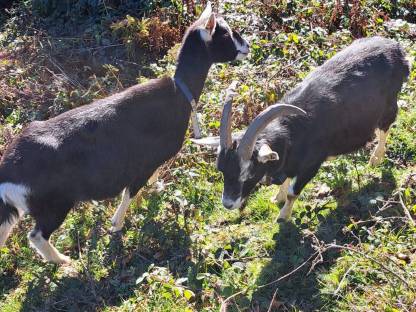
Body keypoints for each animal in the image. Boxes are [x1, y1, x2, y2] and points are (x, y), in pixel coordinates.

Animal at [0, 2, 250, 264]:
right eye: (226, 33)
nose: (247, 46)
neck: (180, 93)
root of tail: (8, 172)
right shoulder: (141, 164)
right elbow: (130, 192)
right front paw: (116, 224)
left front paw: (157, 187)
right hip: (55, 204)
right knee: (37, 235)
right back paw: (65, 261)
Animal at [196, 36, 410, 221]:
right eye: (221, 170)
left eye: (248, 173)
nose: (228, 204)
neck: (293, 130)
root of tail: (396, 48)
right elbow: (284, 180)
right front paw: (277, 197)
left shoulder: (312, 163)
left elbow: (293, 192)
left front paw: (283, 216)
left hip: (389, 104)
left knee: (385, 128)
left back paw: (376, 157)